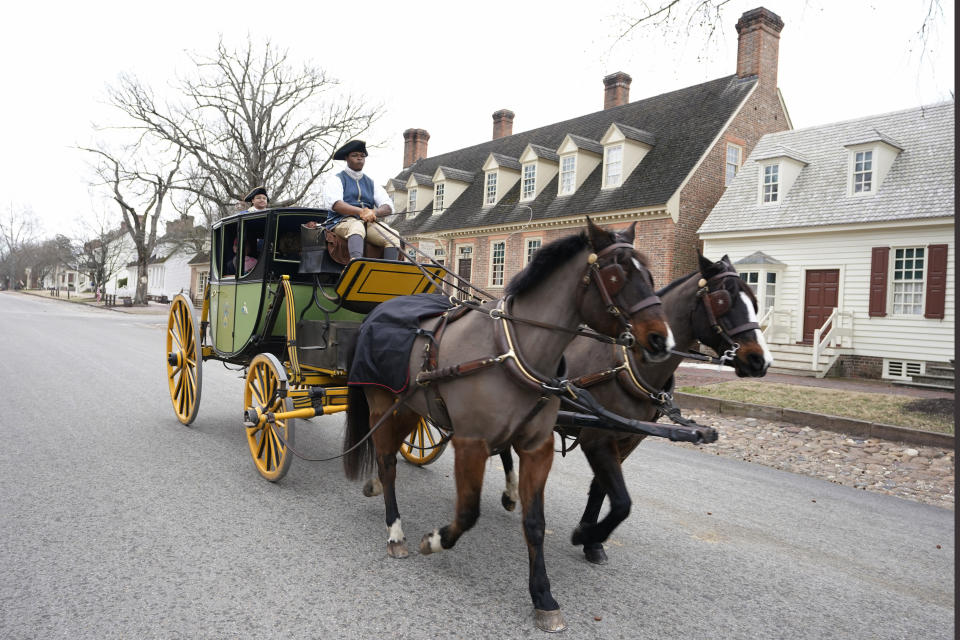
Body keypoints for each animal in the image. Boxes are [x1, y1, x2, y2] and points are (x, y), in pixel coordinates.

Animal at [344, 219, 676, 632]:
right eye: (616, 275)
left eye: (649, 274)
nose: (662, 339)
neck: (511, 352)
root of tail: (376, 312)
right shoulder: (471, 442)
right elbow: (467, 513)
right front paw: (434, 540)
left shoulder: (537, 447)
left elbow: (535, 522)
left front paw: (543, 596)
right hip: (382, 403)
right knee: (387, 462)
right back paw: (395, 531)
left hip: (409, 408)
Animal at [502, 252, 772, 564]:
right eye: (722, 301)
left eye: (754, 301)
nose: (761, 360)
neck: (629, 366)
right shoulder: (598, 438)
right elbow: (621, 501)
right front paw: (586, 534)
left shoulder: (629, 438)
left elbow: (601, 489)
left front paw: (592, 540)